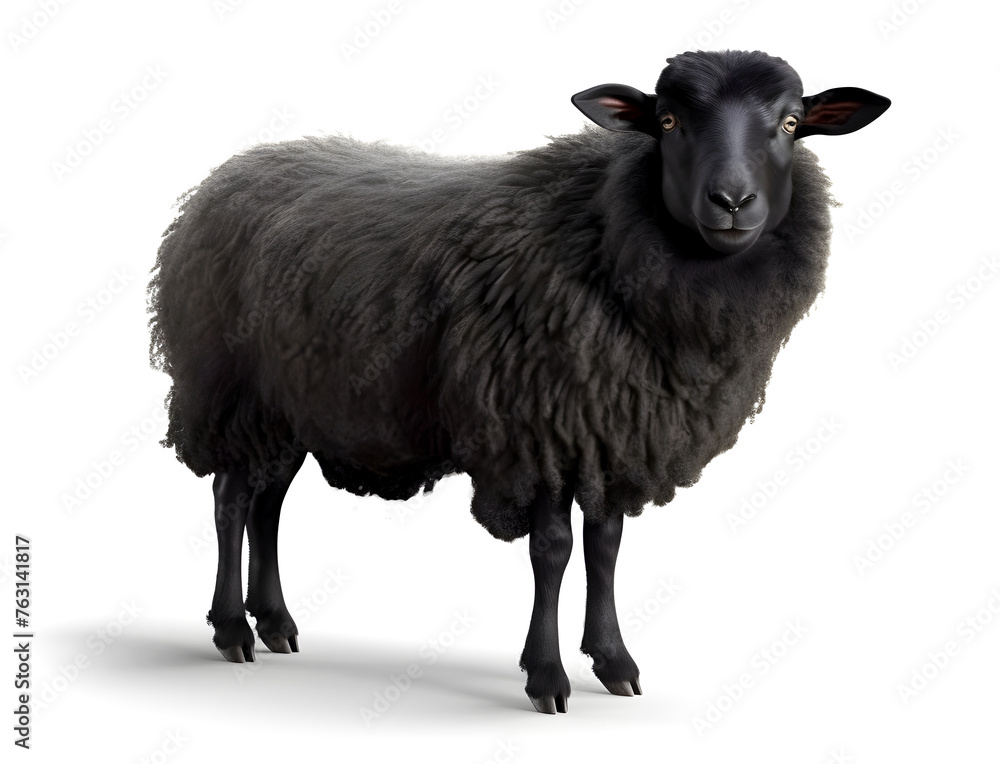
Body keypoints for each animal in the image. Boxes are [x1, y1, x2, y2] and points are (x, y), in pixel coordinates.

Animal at [147, 49, 889, 714]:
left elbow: (606, 545)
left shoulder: (609, 427)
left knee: (268, 503)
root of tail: (225, 177)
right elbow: (554, 550)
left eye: (791, 122)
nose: (733, 201)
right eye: (669, 120)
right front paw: (547, 677)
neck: (610, 240)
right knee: (232, 500)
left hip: (292, 404)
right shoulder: (538, 428)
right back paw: (232, 630)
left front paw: (613, 661)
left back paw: (275, 623)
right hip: (231, 393)